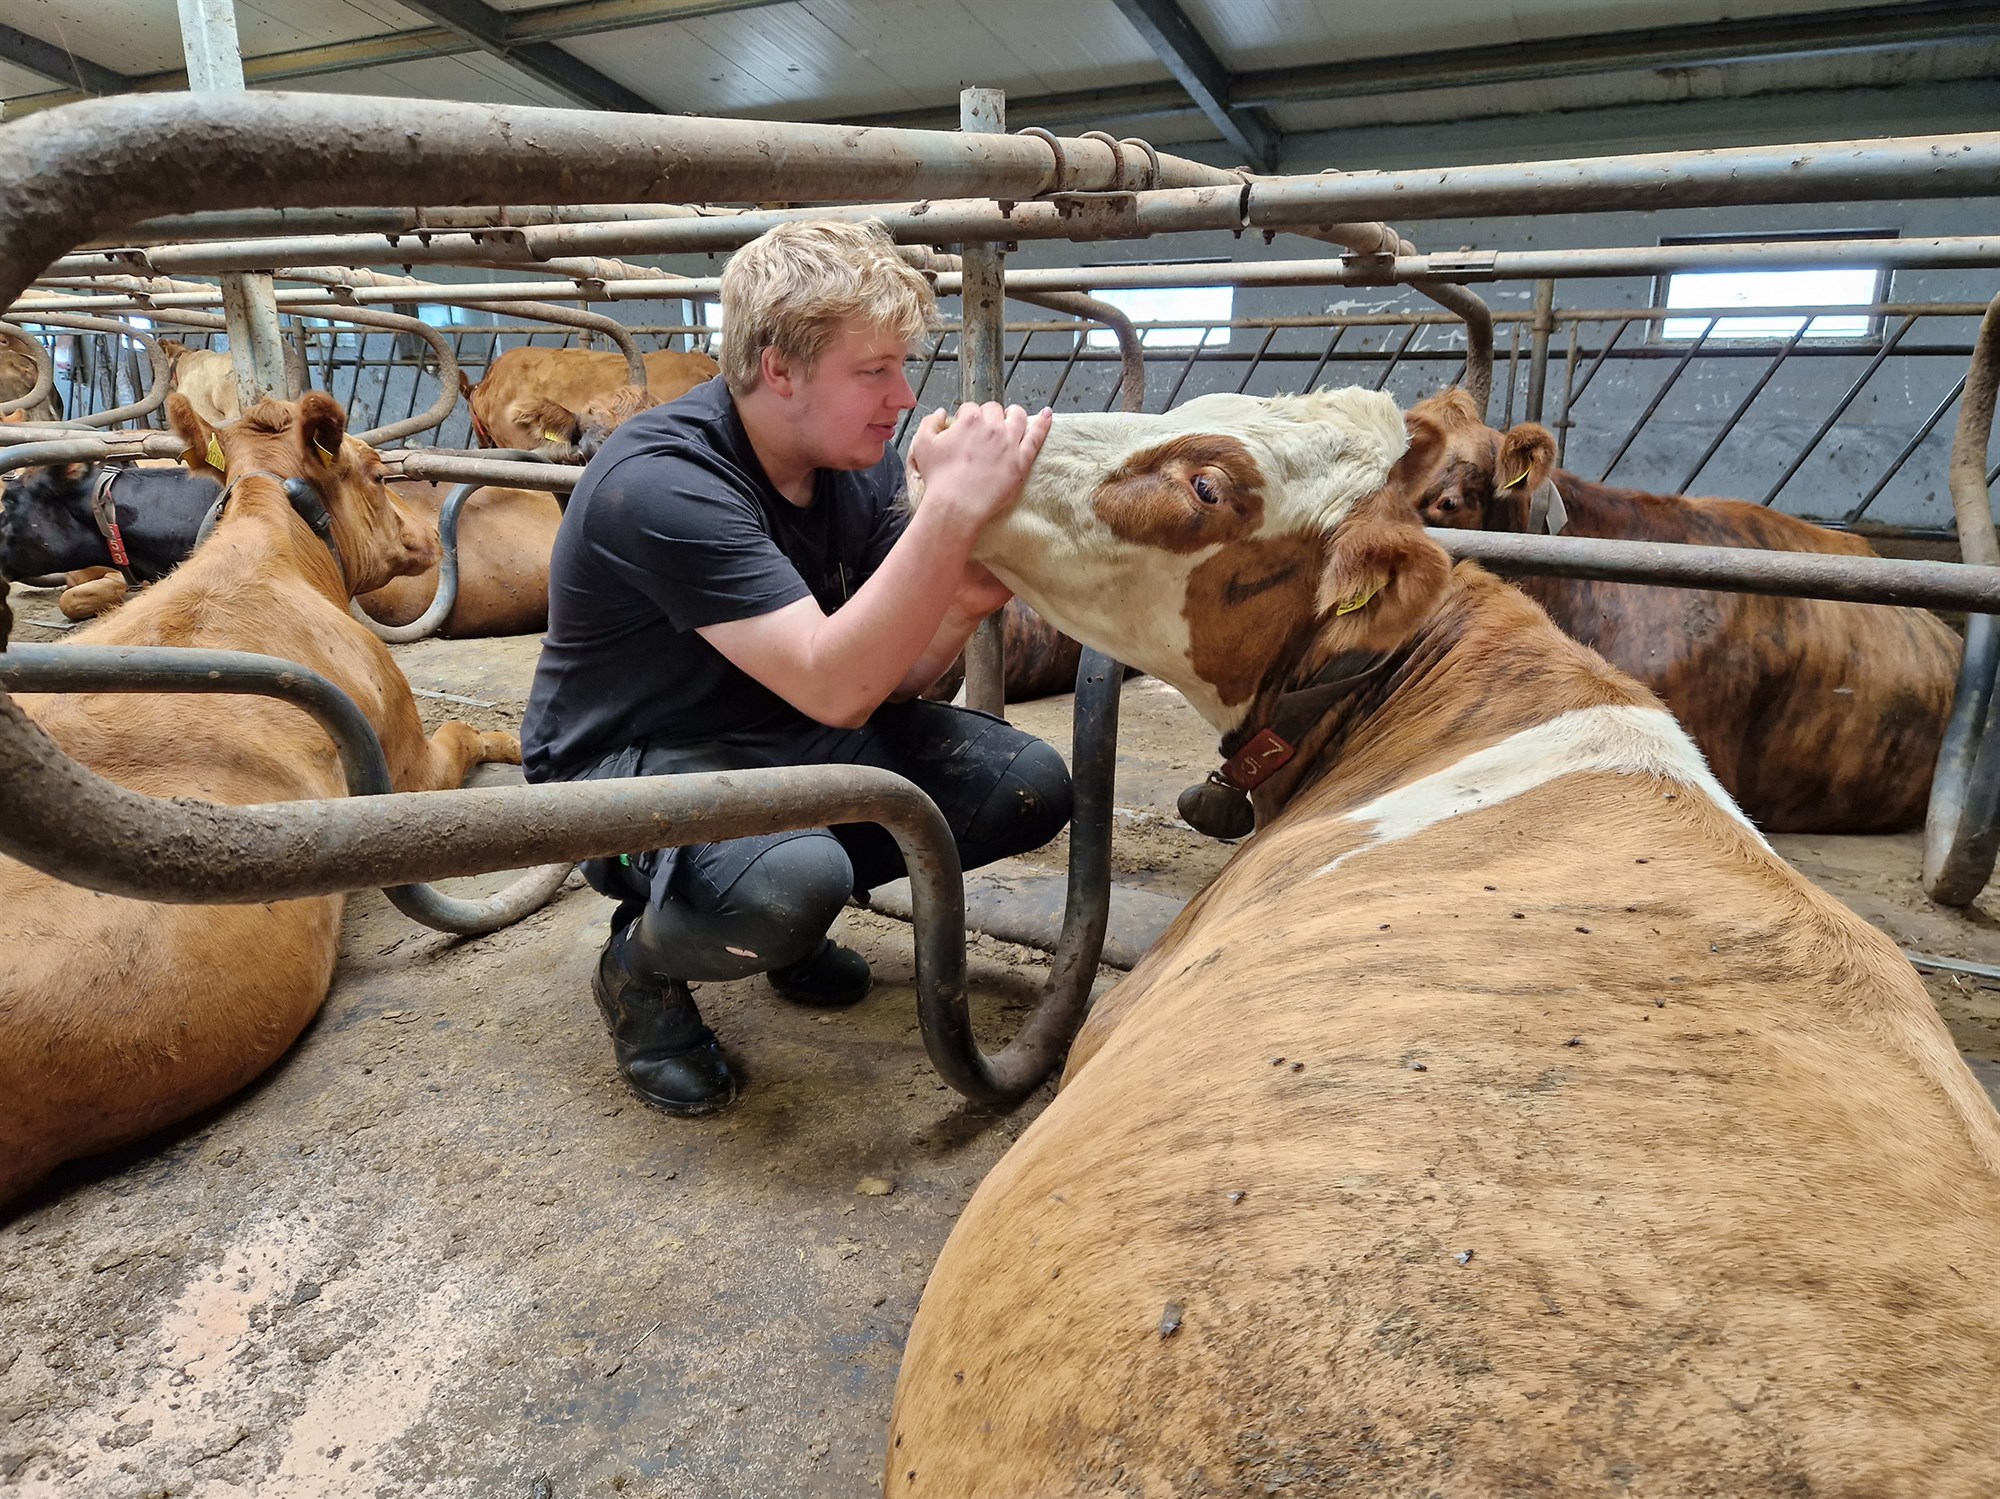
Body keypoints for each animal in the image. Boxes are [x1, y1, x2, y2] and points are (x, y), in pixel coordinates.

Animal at [0, 390, 521, 1208]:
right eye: (377, 473)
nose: (423, 537)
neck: (281, 546)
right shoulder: (404, 761)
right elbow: (467, 730)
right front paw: (516, 740)